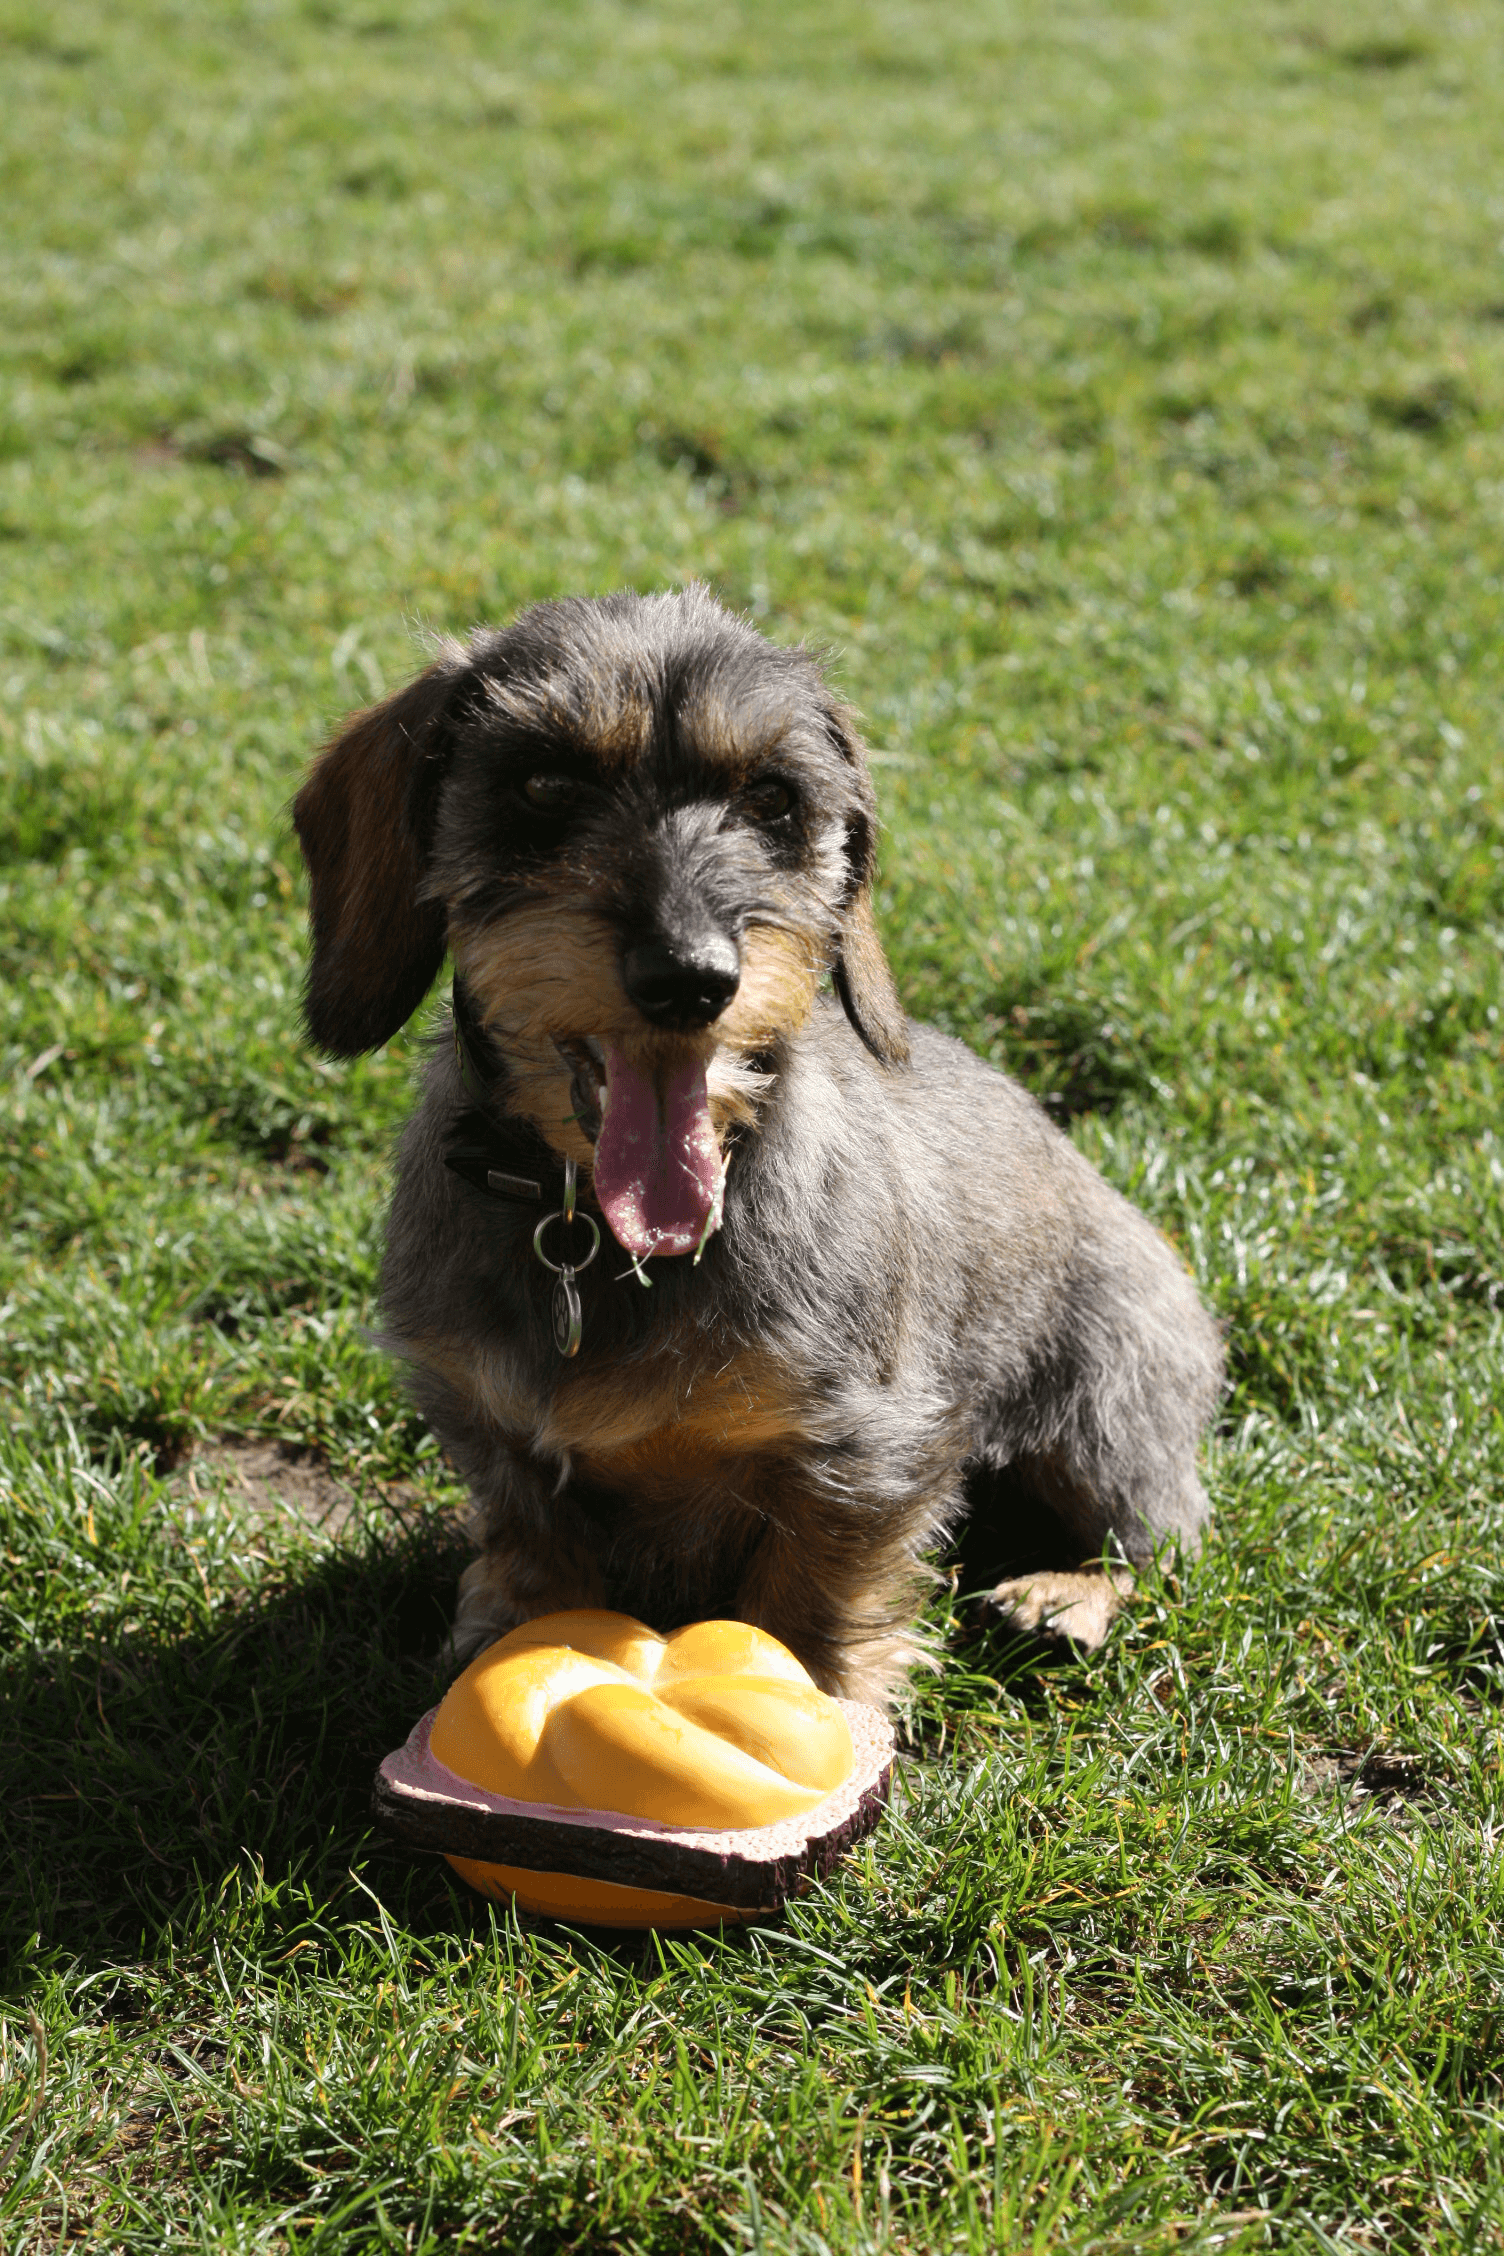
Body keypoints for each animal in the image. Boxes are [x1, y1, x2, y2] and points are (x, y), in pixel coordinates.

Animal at [293, 591, 1226, 1696]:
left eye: (773, 798)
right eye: (544, 781)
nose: (689, 978)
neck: (603, 1238)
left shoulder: (866, 1443)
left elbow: (814, 1587)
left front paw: (822, 1697)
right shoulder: (487, 1418)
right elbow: (531, 1545)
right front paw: (505, 1636)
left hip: (1110, 1401)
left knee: (1160, 1537)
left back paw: (1067, 1593)